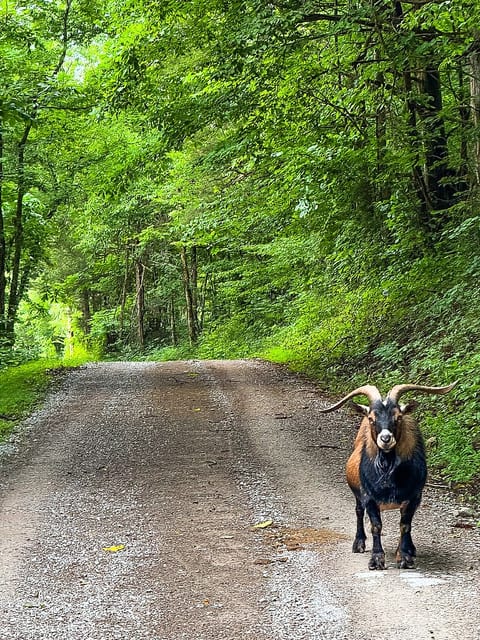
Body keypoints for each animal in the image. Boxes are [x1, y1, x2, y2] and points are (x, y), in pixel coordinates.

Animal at [320, 381, 458, 570]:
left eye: (398, 417)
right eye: (372, 418)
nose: (385, 439)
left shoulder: (413, 497)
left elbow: (405, 525)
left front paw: (405, 557)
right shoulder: (369, 497)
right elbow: (376, 526)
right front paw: (377, 559)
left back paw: (410, 548)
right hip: (358, 492)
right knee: (358, 511)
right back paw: (359, 543)